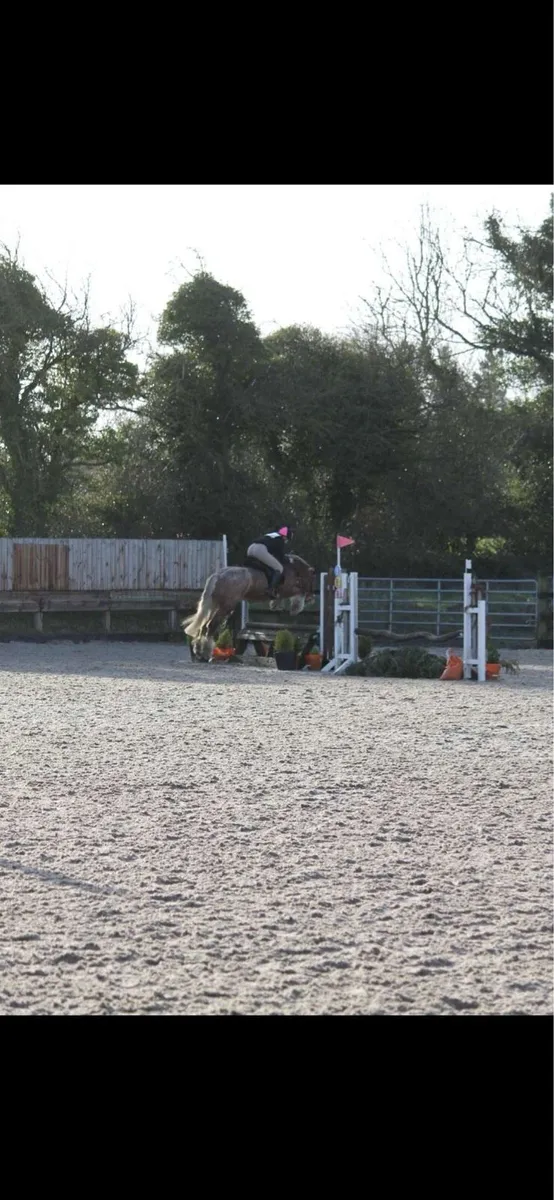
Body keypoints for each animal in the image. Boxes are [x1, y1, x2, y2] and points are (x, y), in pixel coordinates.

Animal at [182, 554, 316, 660]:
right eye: (311, 580)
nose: (311, 598)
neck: (293, 568)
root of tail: (218, 576)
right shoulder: (287, 588)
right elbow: (298, 592)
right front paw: (296, 607)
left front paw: (276, 604)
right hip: (226, 606)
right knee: (210, 626)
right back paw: (205, 653)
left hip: (215, 605)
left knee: (203, 626)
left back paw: (199, 652)